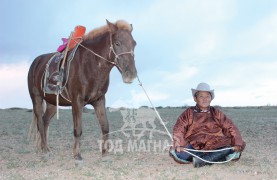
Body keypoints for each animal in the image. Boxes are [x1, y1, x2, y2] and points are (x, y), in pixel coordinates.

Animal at [27, 19, 137, 165]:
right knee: (40, 122)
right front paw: (77, 156)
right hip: (37, 99)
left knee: (45, 121)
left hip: (52, 103)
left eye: (134, 44)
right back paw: (44, 151)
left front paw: (105, 154)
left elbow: (105, 126)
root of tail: (35, 62)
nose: (131, 74)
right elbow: (78, 129)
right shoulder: (77, 101)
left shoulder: (99, 100)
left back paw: (47, 148)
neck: (90, 65)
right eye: (117, 43)